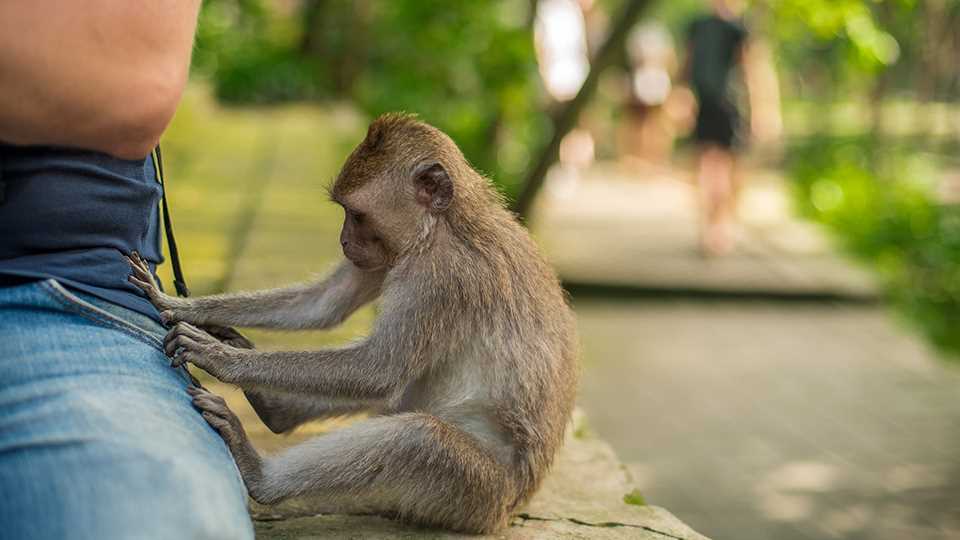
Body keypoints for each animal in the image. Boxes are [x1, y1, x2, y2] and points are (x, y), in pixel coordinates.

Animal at [126, 113, 576, 532]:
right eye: (345, 212)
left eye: (357, 215)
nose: (343, 241)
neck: (440, 226)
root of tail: (510, 509)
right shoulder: (390, 257)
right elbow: (326, 304)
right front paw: (185, 307)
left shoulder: (441, 278)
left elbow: (379, 370)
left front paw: (219, 358)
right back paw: (275, 409)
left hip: (476, 494)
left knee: (417, 437)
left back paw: (261, 476)